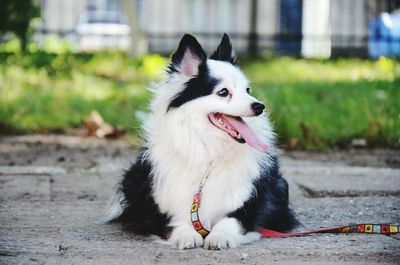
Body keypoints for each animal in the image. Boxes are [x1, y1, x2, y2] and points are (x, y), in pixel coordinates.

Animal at [101, 33, 298, 250]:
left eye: (247, 90)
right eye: (223, 92)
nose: (259, 106)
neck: (209, 150)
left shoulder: (254, 201)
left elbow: (233, 219)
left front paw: (220, 235)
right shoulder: (154, 203)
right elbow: (173, 220)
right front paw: (185, 234)